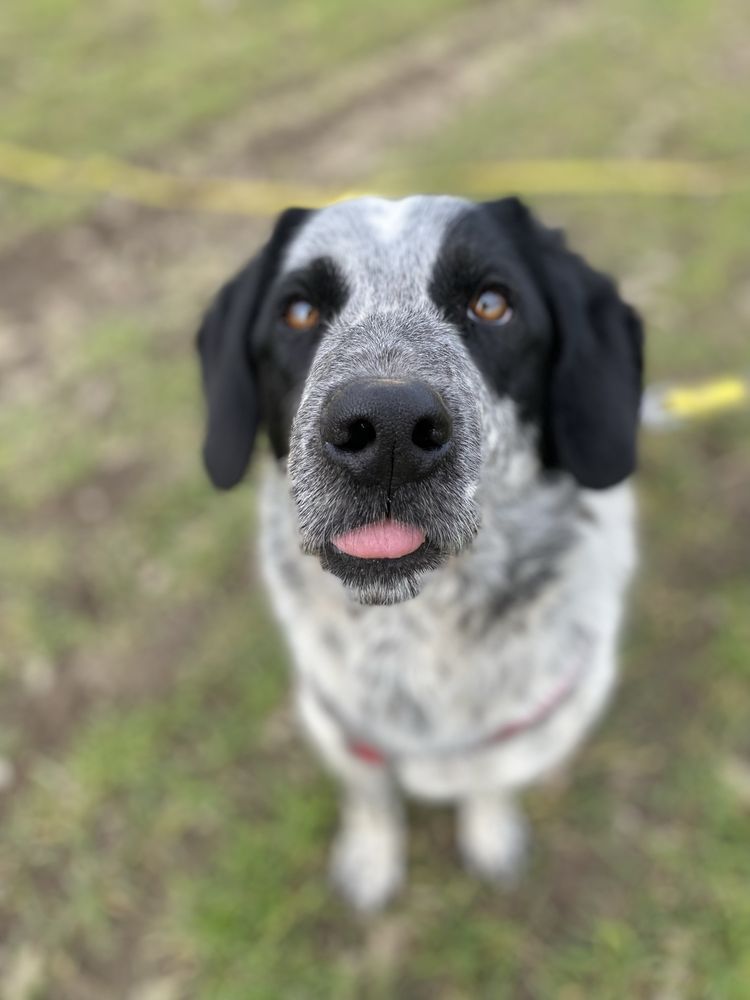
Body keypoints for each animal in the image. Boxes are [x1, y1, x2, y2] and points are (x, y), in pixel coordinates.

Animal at [195, 193, 648, 908]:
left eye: (492, 303)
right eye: (298, 311)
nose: (386, 430)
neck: (419, 631)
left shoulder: (534, 731)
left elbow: (491, 781)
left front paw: (491, 834)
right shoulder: (339, 727)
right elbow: (371, 795)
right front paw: (371, 857)